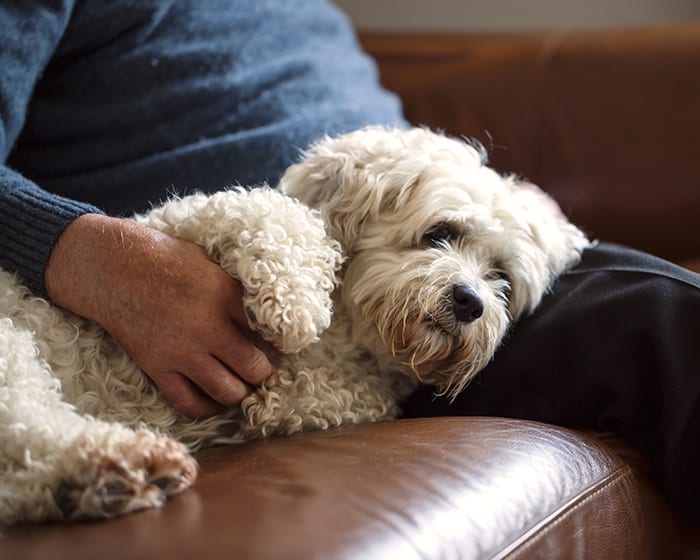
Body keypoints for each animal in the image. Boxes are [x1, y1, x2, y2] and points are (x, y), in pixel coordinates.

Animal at [0, 124, 592, 524]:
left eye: (501, 279)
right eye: (440, 233)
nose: (471, 302)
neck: (347, 336)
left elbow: (343, 396)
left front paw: (283, 393)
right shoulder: (168, 232)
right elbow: (270, 212)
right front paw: (295, 304)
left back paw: (107, 476)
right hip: (13, 352)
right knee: (27, 424)